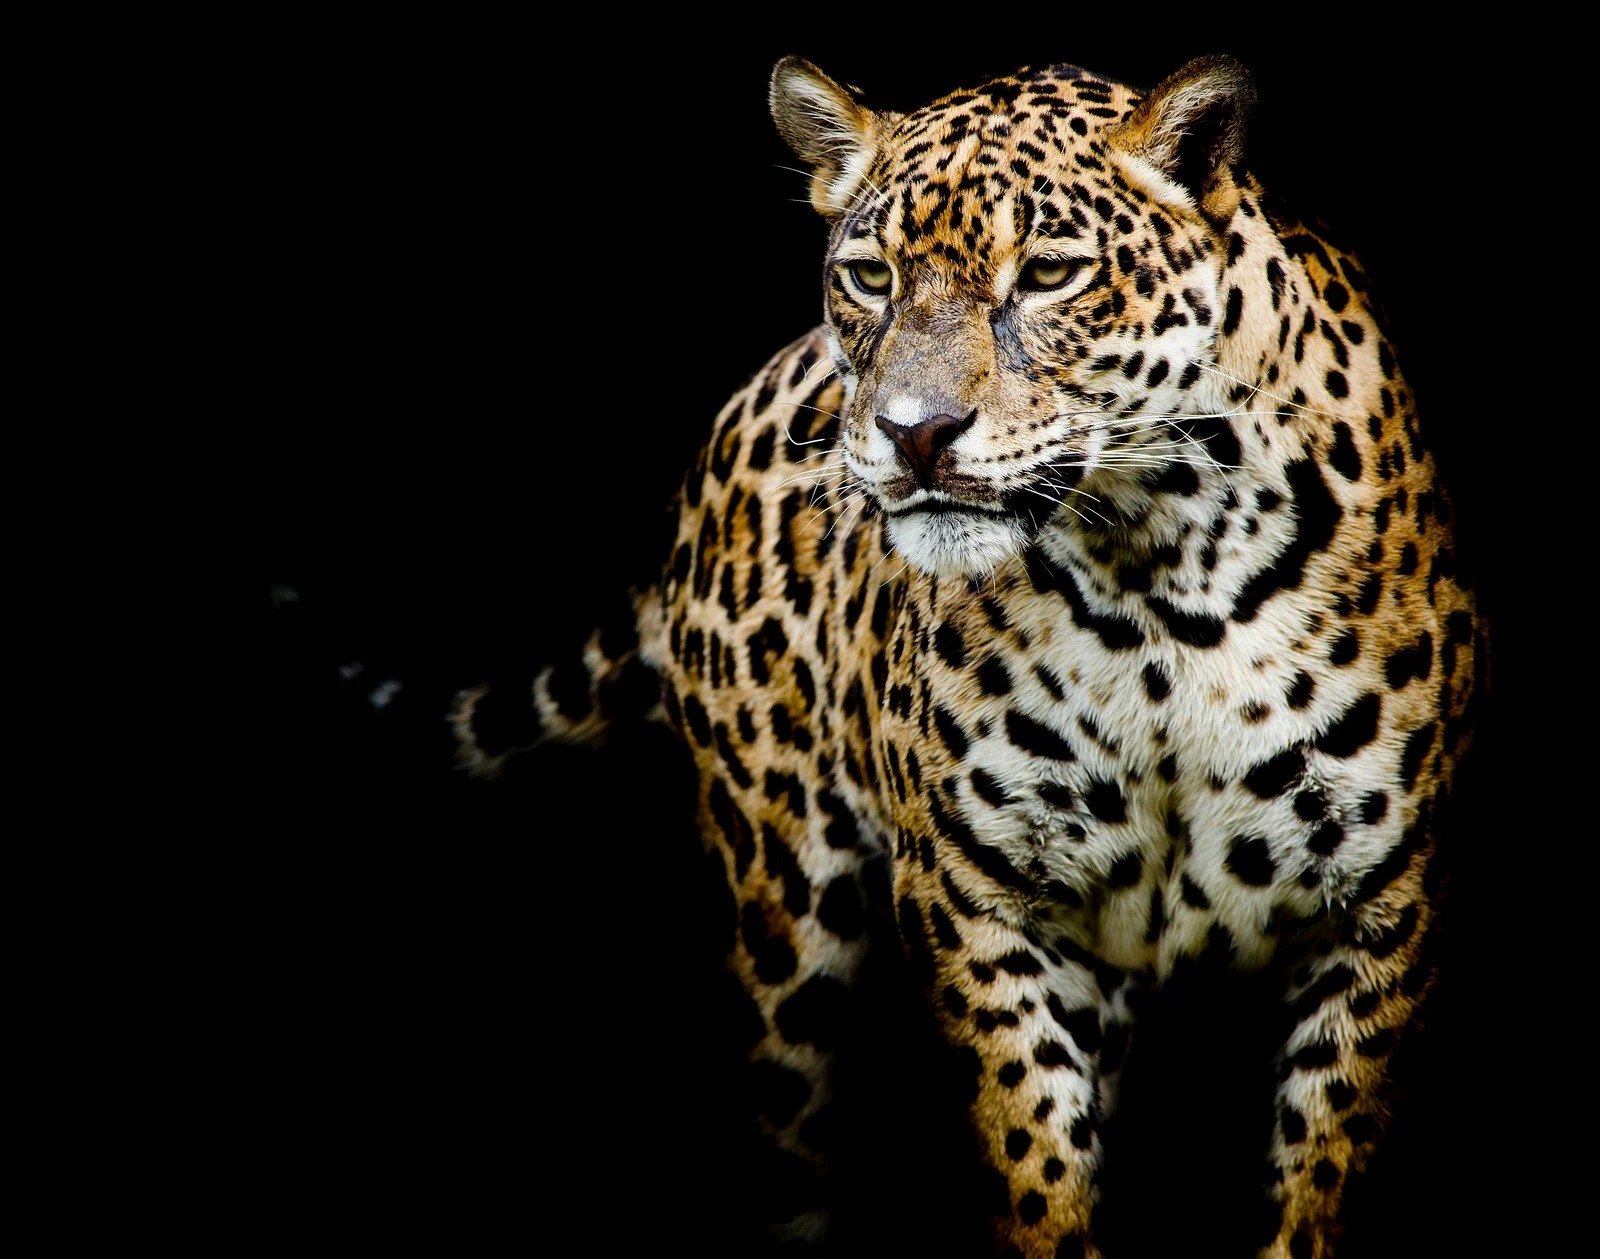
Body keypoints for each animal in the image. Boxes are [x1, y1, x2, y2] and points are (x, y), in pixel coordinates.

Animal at [451, 54, 1483, 1258]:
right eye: (868, 275)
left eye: (1047, 275)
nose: (912, 432)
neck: (1159, 579)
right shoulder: (974, 897)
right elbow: (1032, 1153)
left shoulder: (1386, 907)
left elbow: (1320, 1170)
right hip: (784, 927)